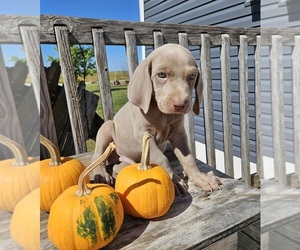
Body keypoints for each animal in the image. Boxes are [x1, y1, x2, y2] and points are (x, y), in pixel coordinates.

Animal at [92, 43, 221, 193]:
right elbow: (161, 158)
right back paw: (101, 175)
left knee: (117, 167)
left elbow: (188, 158)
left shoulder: (178, 133)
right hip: (106, 128)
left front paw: (200, 178)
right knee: (97, 157)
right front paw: (174, 181)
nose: (180, 105)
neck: (163, 114)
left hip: (126, 161)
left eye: (192, 76)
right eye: (161, 75)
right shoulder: (144, 134)